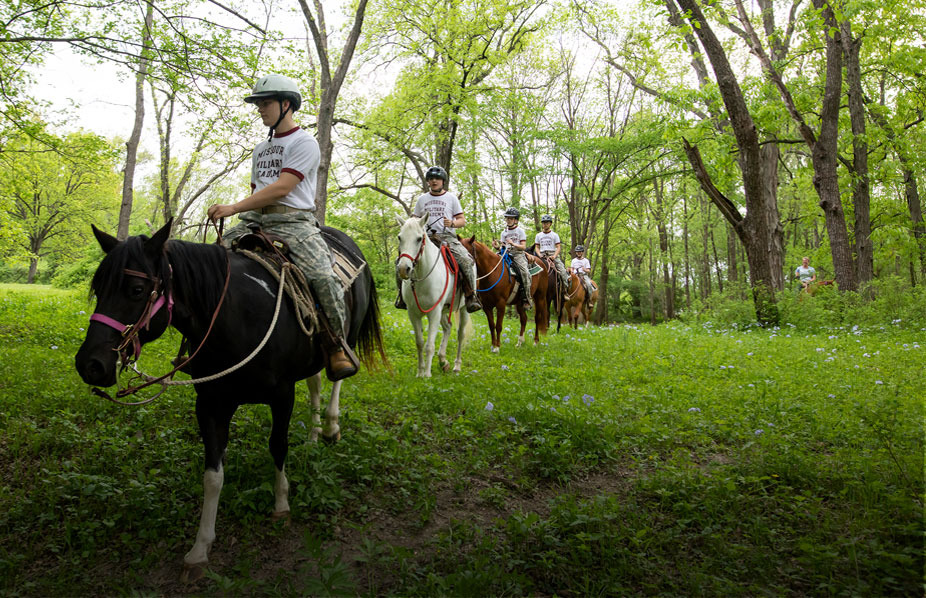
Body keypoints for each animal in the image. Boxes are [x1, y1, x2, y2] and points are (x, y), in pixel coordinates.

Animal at [73, 220, 388, 580]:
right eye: (98, 288)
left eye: (137, 290)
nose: (89, 364)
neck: (238, 318)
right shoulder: (210, 403)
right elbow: (213, 476)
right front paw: (200, 549)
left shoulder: (282, 394)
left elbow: (278, 446)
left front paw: (281, 505)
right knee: (315, 381)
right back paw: (312, 435)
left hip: (346, 334)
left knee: (337, 376)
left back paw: (331, 428)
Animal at [396, 213, 472, 378]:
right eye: (399, 237)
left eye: (419, 238)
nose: (404, 269)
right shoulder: (413, 313)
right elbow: (419, 343)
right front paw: (420, 372)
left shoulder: (434, 312)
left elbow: (429, 345)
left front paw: (427, 374)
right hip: (444, 310)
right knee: (448, 328)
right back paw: (443, 361)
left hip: (462, 309)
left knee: (460, 334)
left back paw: (457, 366)